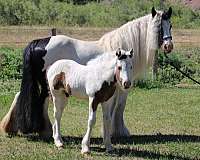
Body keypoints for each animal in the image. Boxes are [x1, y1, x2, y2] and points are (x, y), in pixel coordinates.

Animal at [0, 7, 173, 138]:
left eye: (170, 25)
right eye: (158, 27)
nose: (168, 46)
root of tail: (39, 42)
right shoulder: (122, 88)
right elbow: (119, 107)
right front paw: (119, 132)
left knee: (22, 96)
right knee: (41, 101)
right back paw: (47, 131)